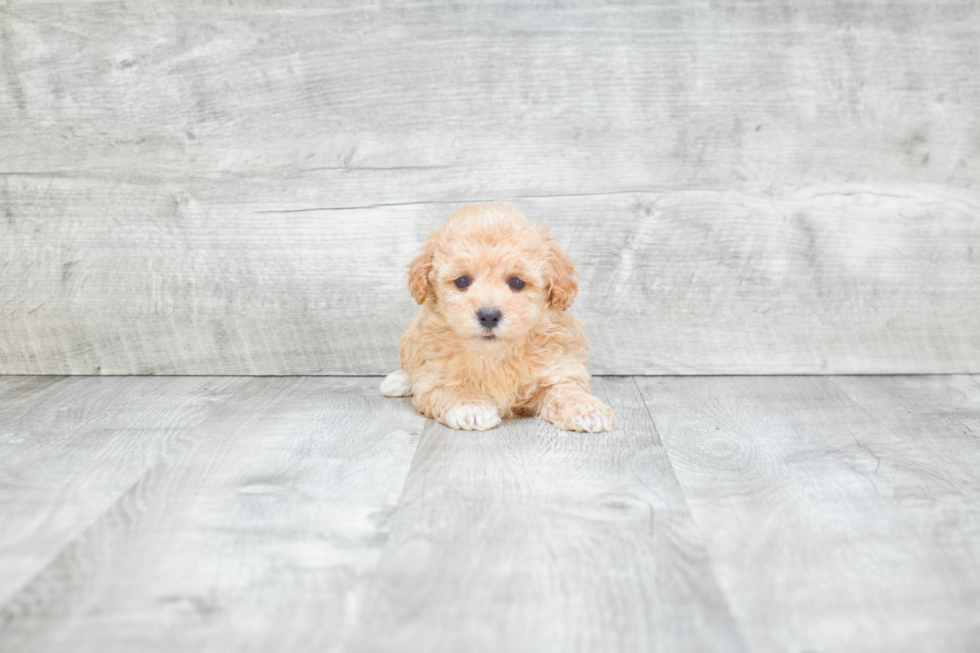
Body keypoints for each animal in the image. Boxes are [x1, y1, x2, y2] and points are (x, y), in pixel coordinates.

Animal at [380, 201, 616, 430]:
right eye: (462, 281)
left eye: (517, 282)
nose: (488, 316)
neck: (494, 355)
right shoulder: (434, 375)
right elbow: (451, 388)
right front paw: (471, 408)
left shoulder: (559, 367)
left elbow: (566, 390)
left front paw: (586, 409)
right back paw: (399, 380)